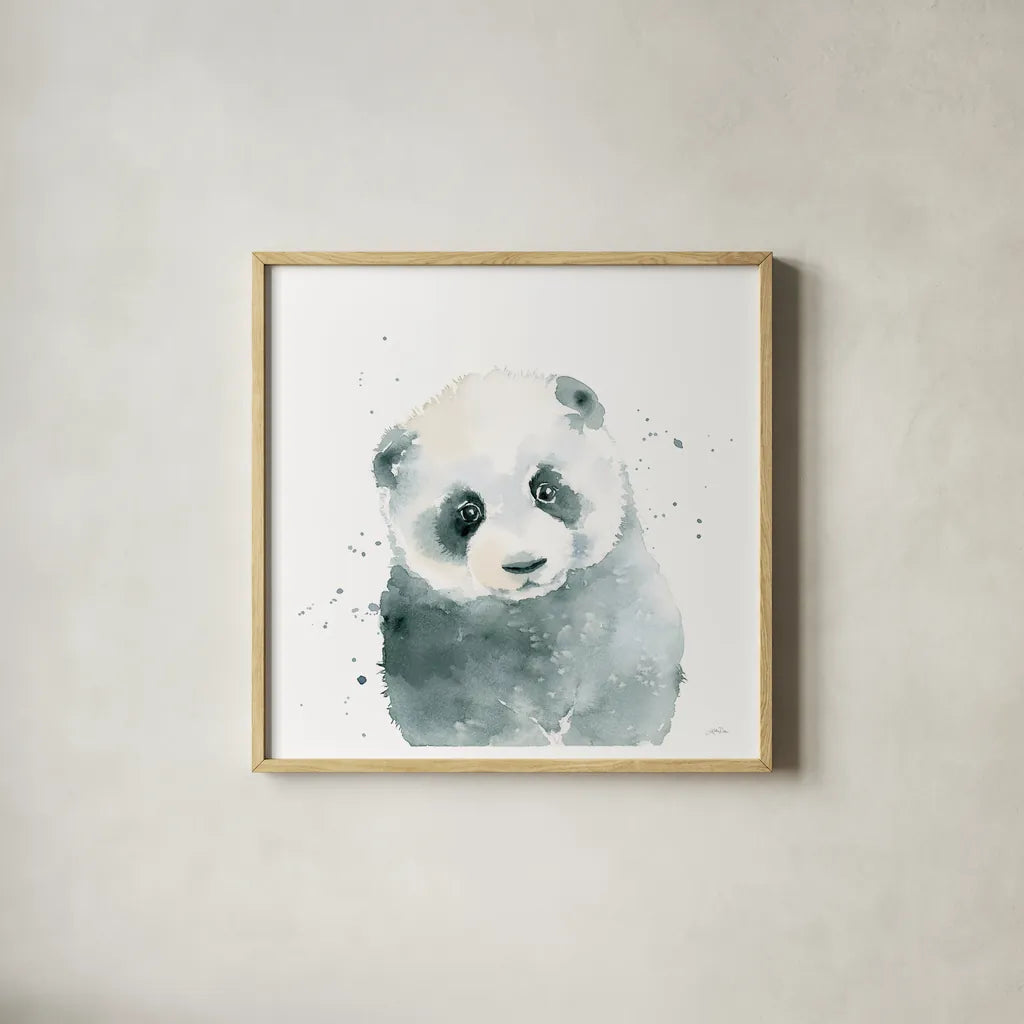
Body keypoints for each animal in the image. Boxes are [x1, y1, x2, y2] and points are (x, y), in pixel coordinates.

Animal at [372, 369, 684, 747]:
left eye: (546, 489)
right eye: (468, 511)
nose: (525, 564)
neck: (532, 613)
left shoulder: (621, 600)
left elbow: (630, 688)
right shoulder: (424, 634)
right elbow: (451, 714)